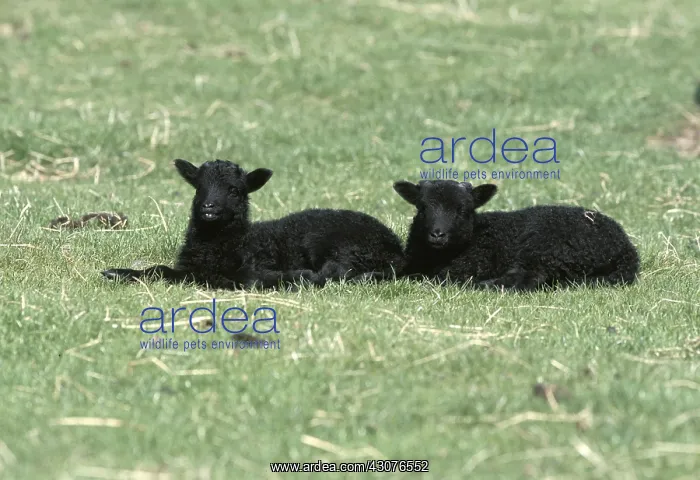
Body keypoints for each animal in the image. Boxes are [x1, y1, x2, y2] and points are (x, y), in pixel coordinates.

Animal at [102, 159, 405, 290]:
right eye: (199, 188)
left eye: (235, 190)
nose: (208, 208)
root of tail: (395, 247)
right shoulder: (190, 267)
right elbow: (159, 269)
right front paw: (118, 273)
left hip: (336, 244)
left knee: (336, 273)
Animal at [392, 180, 640, 291]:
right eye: (422, 208)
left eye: (463, 211)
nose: (438, 234)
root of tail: (627, 249)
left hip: (547, 248)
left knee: (529, 278)